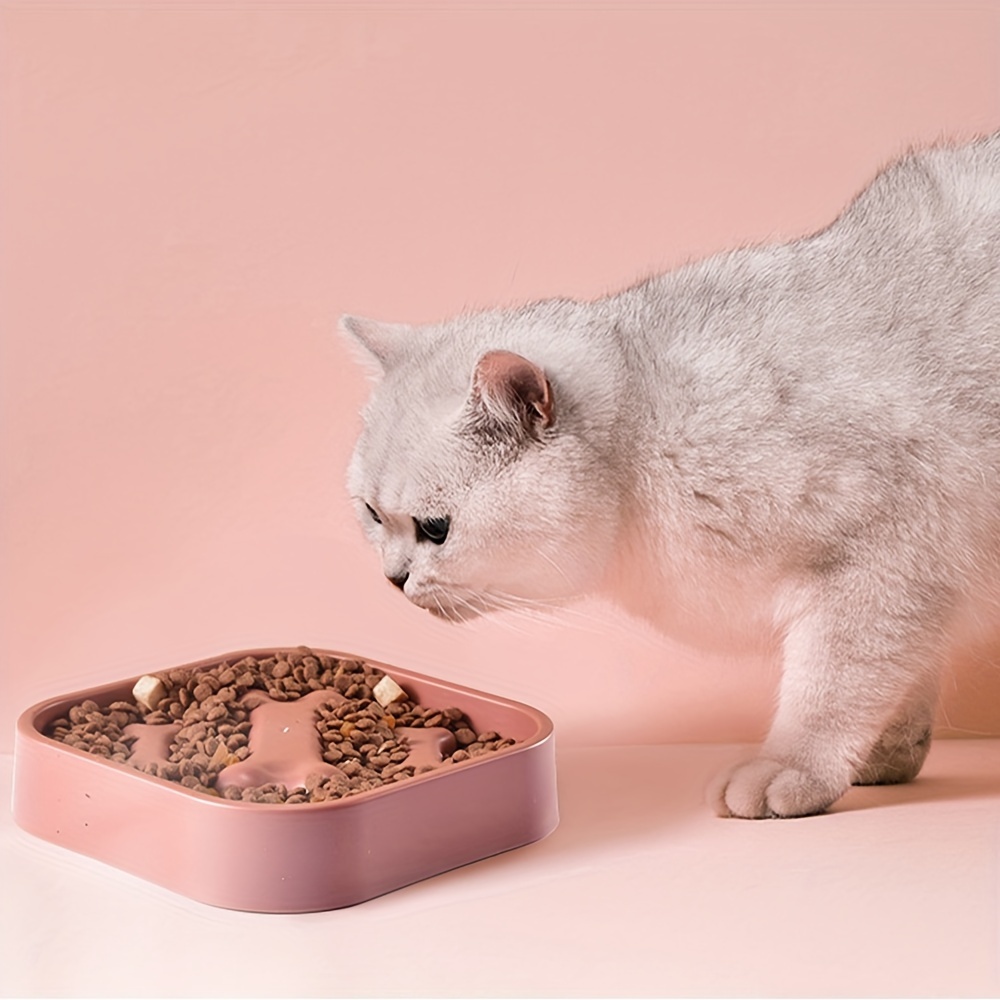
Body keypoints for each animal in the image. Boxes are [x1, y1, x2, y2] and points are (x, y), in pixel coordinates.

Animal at [338, 131, 1000, 820]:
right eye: (371, 515)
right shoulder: (917, 590)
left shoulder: (889, 561)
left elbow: (830, 689)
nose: (392, 579)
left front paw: (792, 770)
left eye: (435, 529)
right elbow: (905, 679)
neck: (651, 423)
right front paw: (884, 758)